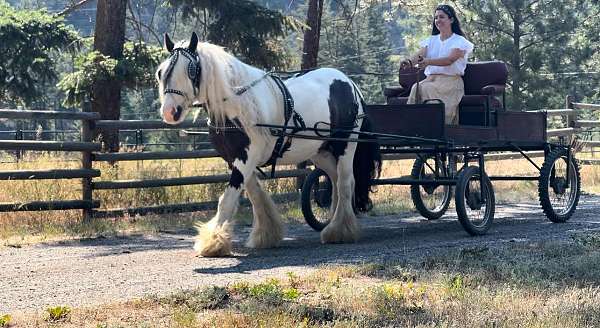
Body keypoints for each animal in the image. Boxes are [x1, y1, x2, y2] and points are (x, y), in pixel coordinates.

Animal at [155, 32, 380, 256]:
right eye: (160, 72)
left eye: (191, 70)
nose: (170, 112)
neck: (238, 104)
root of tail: (349, 83)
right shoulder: (235, 159)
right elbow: (255, 194)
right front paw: (265, 235)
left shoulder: (246, 157)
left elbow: (227, 200)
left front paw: (213, 242)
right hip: (321, 151)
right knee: (335, 179)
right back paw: (334, 223)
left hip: (346, 145)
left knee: (345, 182)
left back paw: (339, 230)